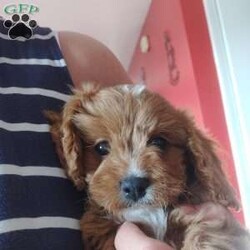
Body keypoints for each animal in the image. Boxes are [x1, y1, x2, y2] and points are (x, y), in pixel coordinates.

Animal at [47, 84, 250, 250]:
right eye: (101, 147)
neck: (148, 212)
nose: (134, 186)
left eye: (159, 142)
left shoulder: (210, 219)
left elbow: (206, 233)